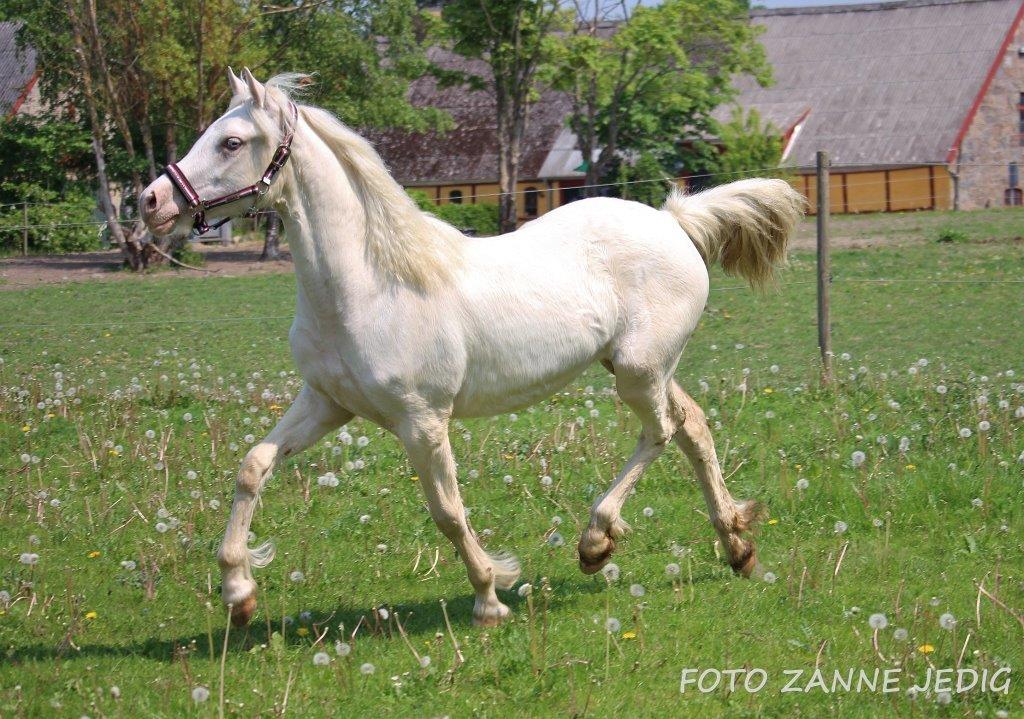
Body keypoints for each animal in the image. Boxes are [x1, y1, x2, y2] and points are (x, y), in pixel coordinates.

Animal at [138, 70, 806, 626]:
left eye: (231, 142)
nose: (150, 203)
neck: (371, 284)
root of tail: (673, 220)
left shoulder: (422, 421)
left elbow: (447, 512)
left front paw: (489, 595)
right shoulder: (328, 403)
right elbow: (253, 465)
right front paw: (238, 593)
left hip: (639, 372)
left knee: (662, 432)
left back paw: (596, 541)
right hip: (640, 367)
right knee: (692, 428)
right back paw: (736, 547)